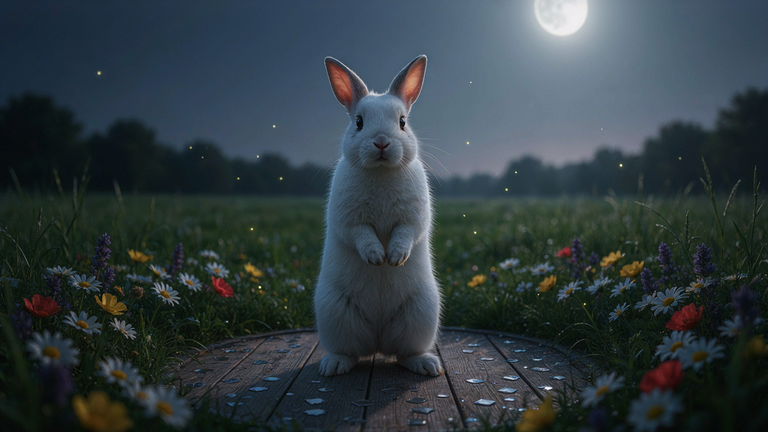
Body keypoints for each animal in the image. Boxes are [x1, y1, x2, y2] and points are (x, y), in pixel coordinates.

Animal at [313, 55, 444, 377]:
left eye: (402, 122)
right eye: (359, 122)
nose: (382, 142)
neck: (382, 171)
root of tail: (378, 341)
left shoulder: (413, 219)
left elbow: (405, 233)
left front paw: (394, 258)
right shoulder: (350, 221)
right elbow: (361, 235)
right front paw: (376, 257)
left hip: (420, 314)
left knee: (403, 353)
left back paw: (426, 365)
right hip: (336, 314)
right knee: (351, 352)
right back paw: (333, 365)